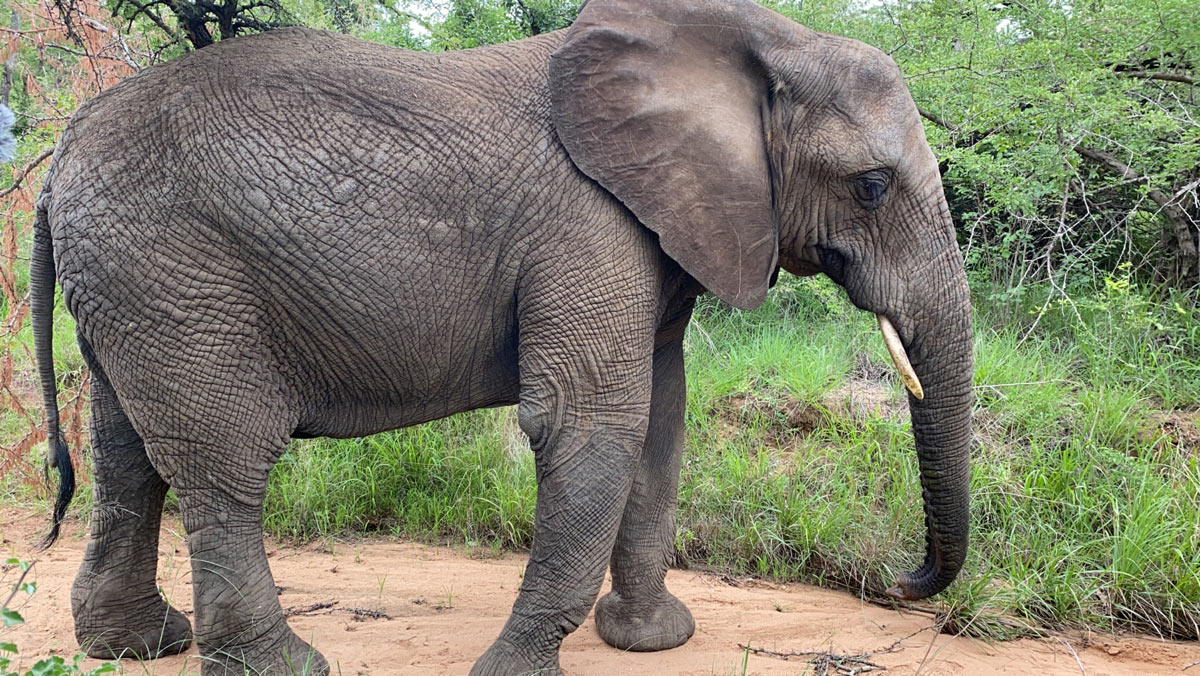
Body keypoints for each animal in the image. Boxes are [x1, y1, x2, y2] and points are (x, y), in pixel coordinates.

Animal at [28, 0, 974, 674]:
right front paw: (518, 669)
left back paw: (137, 647)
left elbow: (662, 425)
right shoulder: (586, 223)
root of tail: (60, 158)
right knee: (223, 461)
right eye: (873, 186)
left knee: (126, 452)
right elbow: (590, 425)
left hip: (133, 290)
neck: (763, 39)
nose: (900, 584)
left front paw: (652, 640)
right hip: (176, 277)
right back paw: (284, 666)